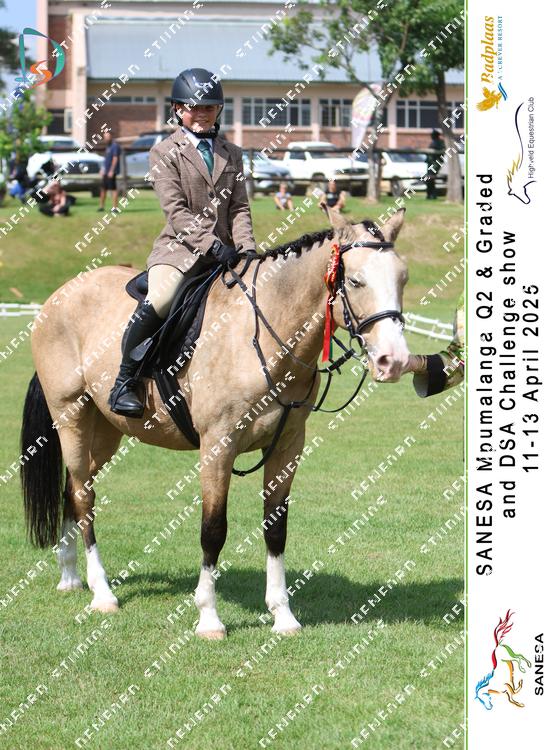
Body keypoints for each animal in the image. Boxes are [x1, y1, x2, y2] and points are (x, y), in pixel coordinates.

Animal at [20, 205, 409, 639]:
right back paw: (101, 592)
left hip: (104, 431)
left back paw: (71, 577)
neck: (262, 335)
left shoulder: (288, 445)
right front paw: (208, 618)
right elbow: (213, 529)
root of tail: (61, 294)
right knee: (84, 497)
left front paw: (283, 615)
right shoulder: (218, 446)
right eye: (355, 281)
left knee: (73, 490)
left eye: (403, 278)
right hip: (71, 416)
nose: (394, 361)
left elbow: (276, 528)